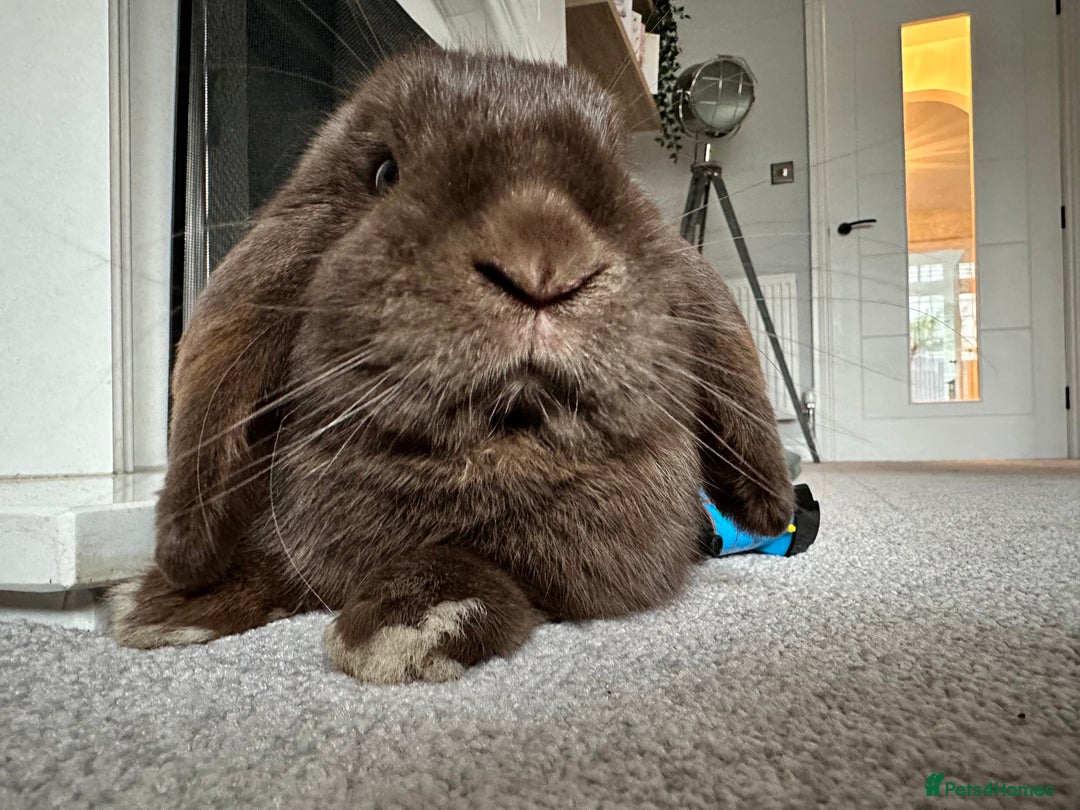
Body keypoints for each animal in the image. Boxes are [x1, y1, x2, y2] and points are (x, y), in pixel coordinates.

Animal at [108, 48, 794, 684]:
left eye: (619, 179)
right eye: (384, 172)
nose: (543, 258)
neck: (493, 452)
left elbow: (474, 568)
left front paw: (405, 629)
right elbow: (271, 560)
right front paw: (160, 607)